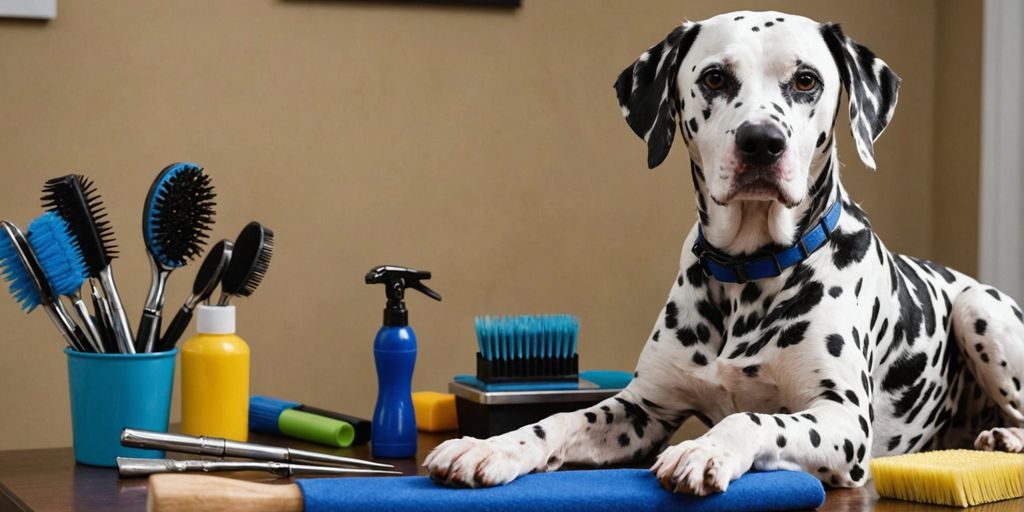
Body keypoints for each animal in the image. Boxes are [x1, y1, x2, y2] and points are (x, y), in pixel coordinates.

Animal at [421, 9, 1024, 493]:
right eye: (714, 77)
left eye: (806, 80)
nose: (761, 142)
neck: (748, 273)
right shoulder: (644, 406)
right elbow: (560, 421)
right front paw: (490, 447)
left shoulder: (843, 421)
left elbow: (753, 419)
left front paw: (704, 449)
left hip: (980, 310)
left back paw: (1003, 437)